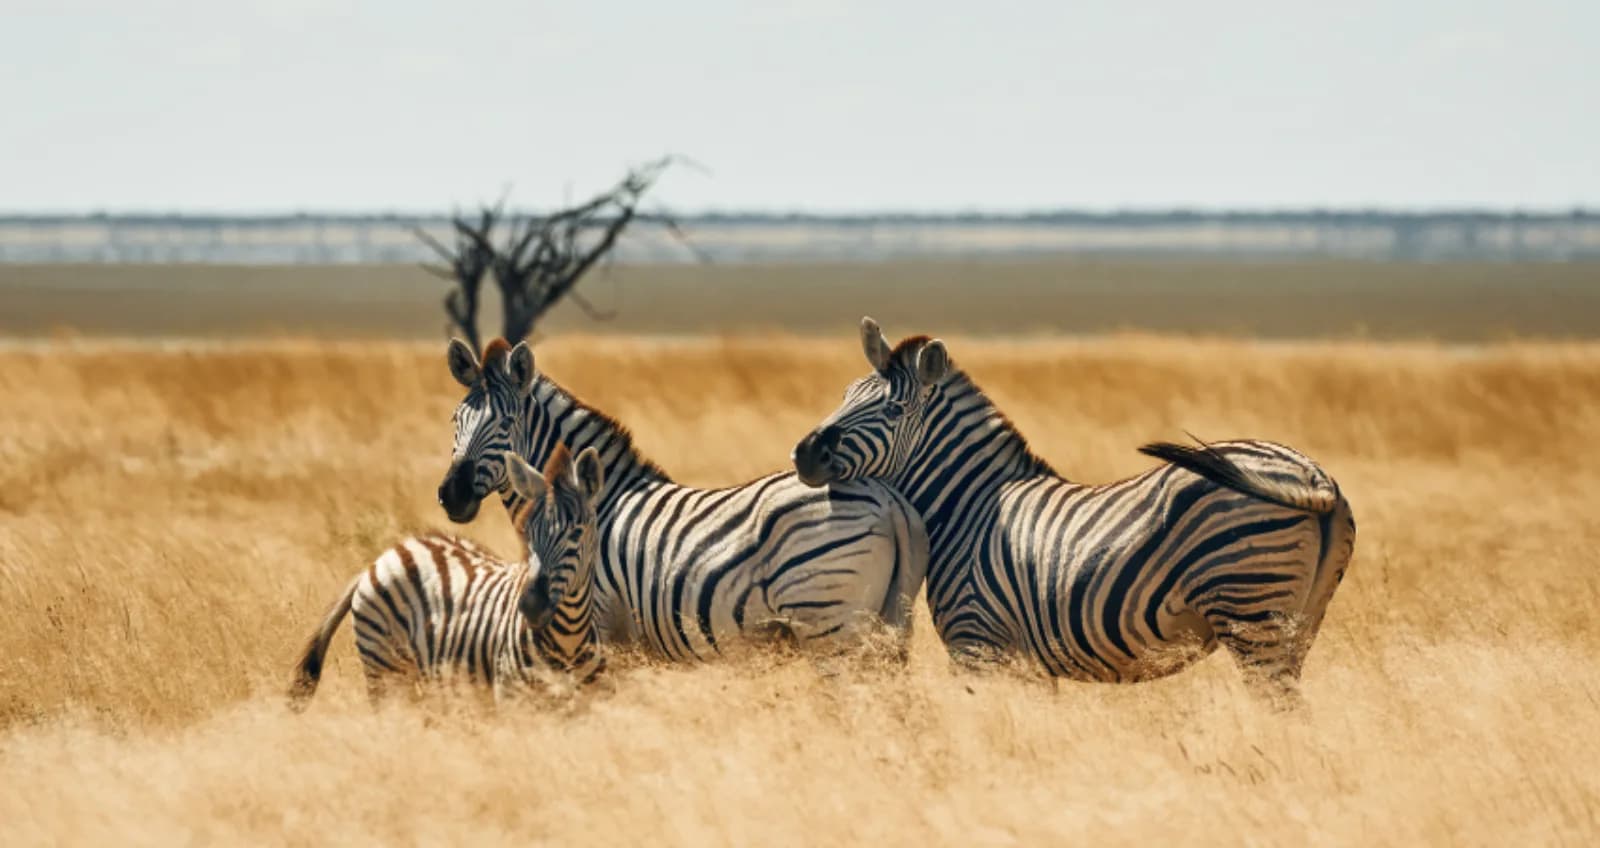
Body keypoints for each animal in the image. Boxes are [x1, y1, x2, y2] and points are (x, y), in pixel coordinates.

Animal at [289, 445, 605, 706]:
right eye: (527, 532)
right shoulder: (512, 699)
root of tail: (387, 553)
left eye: (577, 532)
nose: (531, 606)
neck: (569, 640)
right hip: (385, 669)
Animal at [435, 337, 929, 661]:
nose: (452, 495)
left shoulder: (602, 625)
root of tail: (887, 499)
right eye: (455, 419)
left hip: (830, 624)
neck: (601, 500)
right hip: (886, 623)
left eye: (505, 424)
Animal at [790, 318, 1356, 700]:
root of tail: (1313, 476)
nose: (803, 453)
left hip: (1251, 608)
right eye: (846, 393)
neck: (968, 506)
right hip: (1302, 621)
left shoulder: (978, 644)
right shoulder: (1027, 664)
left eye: (892, 409)